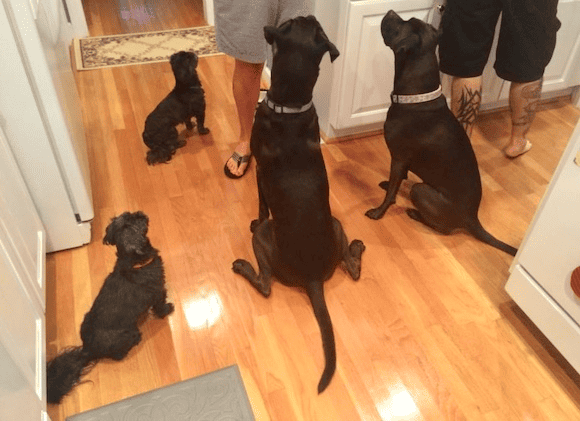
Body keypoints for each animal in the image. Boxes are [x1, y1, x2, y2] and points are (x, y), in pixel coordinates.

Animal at [46, 212, 173, 402]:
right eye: (134, 221)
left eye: (128, 216)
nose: (139, 213)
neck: (132, 263)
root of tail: (88, 349)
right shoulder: (158, 291)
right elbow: (160, 306)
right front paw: (167, 309)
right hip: (128, 333)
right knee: (119, 355)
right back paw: (135, 342)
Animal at [230, 13, 362, 394]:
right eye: (311, 27)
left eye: (290, 22)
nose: (310, 14)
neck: (291, 104)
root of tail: (314, 279)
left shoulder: (260, 174)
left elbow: (260, 204)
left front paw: (254, 217)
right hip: (337, 225)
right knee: (352, 267)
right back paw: (358, 248)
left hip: (263, 244)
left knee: (265, 284)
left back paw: (242, 267)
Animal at [368, 10, 516, 256]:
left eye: (405, 22)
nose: (390, 11)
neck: (416, 97)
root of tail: (472, 219)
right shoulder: (402, 162)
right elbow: (395, 182)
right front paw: (388, 185)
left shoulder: (398, 158)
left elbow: (390, 194)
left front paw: (379, 212)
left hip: (421, 190)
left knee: (444, 229)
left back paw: (415, 213)